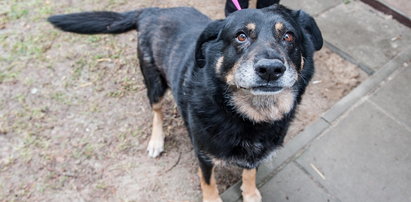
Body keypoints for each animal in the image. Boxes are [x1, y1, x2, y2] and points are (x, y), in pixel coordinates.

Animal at [49, 4, 322, 200]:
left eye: (289, 36)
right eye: (241, 36)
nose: (270, 69)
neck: (250, 115)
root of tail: (152, 10)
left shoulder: (256, 154)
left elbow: (250, 172)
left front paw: (251, 193)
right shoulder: (203, 154)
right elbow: (208, 182)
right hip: (154, 83)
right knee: (156, 111)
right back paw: (156, 140)